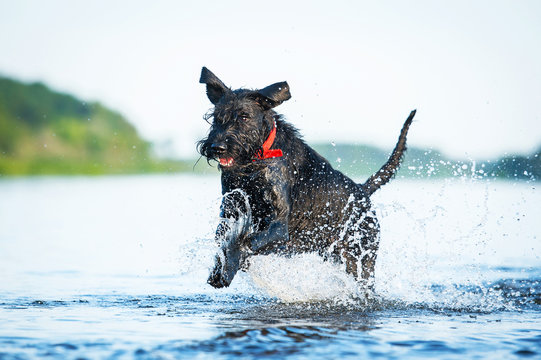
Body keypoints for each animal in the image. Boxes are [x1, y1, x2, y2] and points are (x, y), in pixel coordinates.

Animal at [198, 66, 414, 288]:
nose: (217, 147)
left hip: (361, 259)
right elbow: (223, 238)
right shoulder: (231, 209)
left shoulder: (279, 226)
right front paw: (219, 270)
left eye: (244, 116)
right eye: (215, 117)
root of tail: (363, 191)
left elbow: (246, 242)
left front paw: (229, 267)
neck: (256, 162)